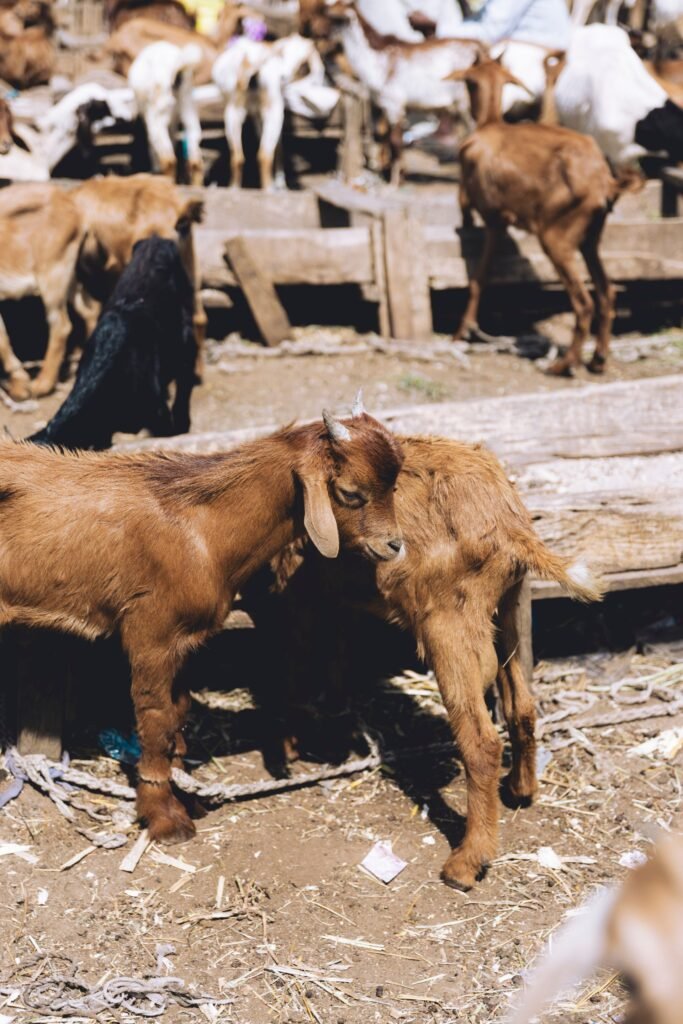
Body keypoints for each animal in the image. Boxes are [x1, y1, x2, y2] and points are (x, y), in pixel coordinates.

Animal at [1, 403, 404, 842]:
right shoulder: (151, 635)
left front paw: (186, 795)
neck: (202, 529)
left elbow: (179, 714)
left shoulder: (183, 641)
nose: (394, 545)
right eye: (350, 493)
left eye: (395, 486)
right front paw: (164, 816)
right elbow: (156, 720)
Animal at [128, 39, 204, 184]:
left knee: (168, 159)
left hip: (158, 112)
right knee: (195, 156)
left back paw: (166, 181)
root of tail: (178, 66)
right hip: (188, 102)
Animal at [212, 33, 325, 190]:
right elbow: (279, 145)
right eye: (283, 54)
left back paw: (234, 188)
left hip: (232, 113)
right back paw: (270, 189)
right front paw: (280, 183)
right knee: (264, 156)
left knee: (237, 158)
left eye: (303, 63)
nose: (284, 75)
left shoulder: (256, 114)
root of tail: (250, 63)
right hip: (274, 111)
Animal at [242, 430, 603, 891]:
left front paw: (288, 746)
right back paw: (521, 790)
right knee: (521, 704)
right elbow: (337, 659)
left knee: (481, 742)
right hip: (510, 602)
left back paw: (466, 864)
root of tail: (511, 522)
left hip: (448, 622)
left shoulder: (296, 595)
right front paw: (336, 724)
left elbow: (293, 666)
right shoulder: (335, 597)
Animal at [450, 55, 639, 375]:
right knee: (606, 292)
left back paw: (563, 364)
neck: (491, 125)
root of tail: (605, 180)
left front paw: (462, 331)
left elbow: (478, 277)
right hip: (590, 239)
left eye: (468, 80)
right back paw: (598, 360)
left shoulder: (490, 217)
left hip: (555, 238)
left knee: (584, 302)